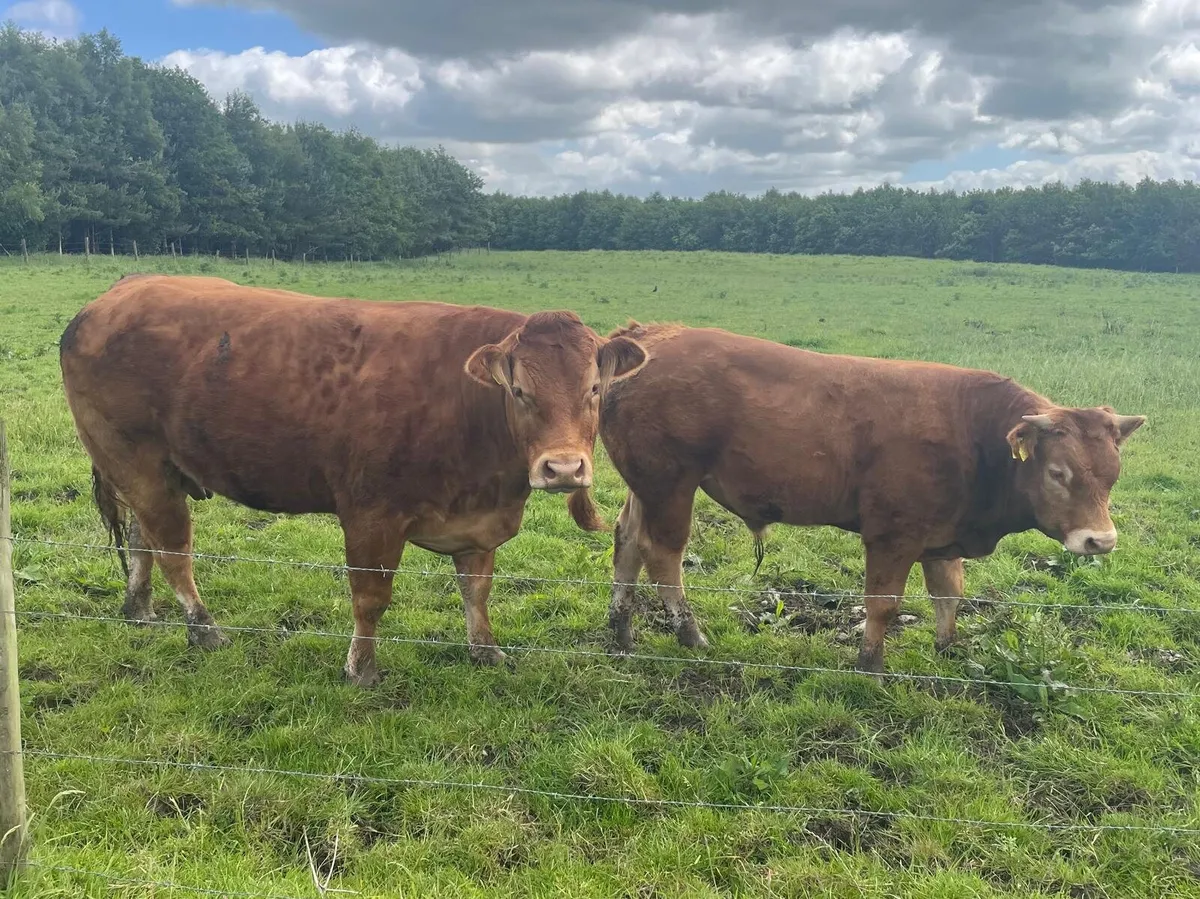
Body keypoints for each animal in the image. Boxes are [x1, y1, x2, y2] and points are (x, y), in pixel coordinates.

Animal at [59, 274, 647, 686]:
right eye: (520, 391)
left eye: (595, 388)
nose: (563, 468)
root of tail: (115, 295)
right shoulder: (372, 515)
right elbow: (371, 596)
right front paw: (360, 667)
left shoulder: (478, 520)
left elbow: (476, 590)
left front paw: (486, 650)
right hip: (135, 461)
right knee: (173, 551)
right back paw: (204, 629)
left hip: (154, 471)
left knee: (142, 538)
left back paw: (140, 609)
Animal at [596, 321, 1146, 672]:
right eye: (1057, 473)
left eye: (1113, 475)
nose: (1100, 541)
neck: (973, 432)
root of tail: (645, 334)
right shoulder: (893, 535)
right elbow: (883, 604)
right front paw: (871, 664)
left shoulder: (939, 535)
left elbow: (949, 593)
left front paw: (948, 648)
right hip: (671, 483)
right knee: (662, 553)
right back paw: (690, 633)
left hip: (645, 485)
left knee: (627, 542)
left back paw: (621, 631)